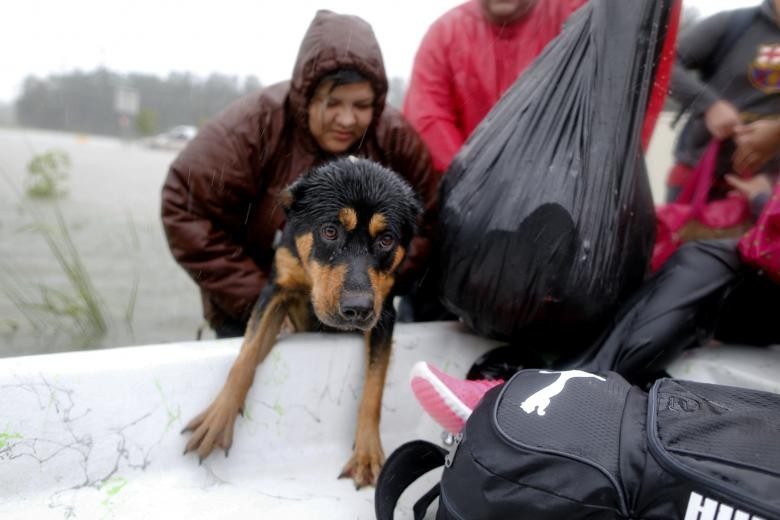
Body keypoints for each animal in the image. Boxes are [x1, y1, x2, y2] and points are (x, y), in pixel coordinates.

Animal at [181, 156, 420, 490]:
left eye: (386, 240)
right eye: (330, 231)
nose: (357, 310)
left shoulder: (383, 313)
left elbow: (374, 386)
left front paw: (367, 454)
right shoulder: (276, 292)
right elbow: (246, 357)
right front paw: (218, 419)